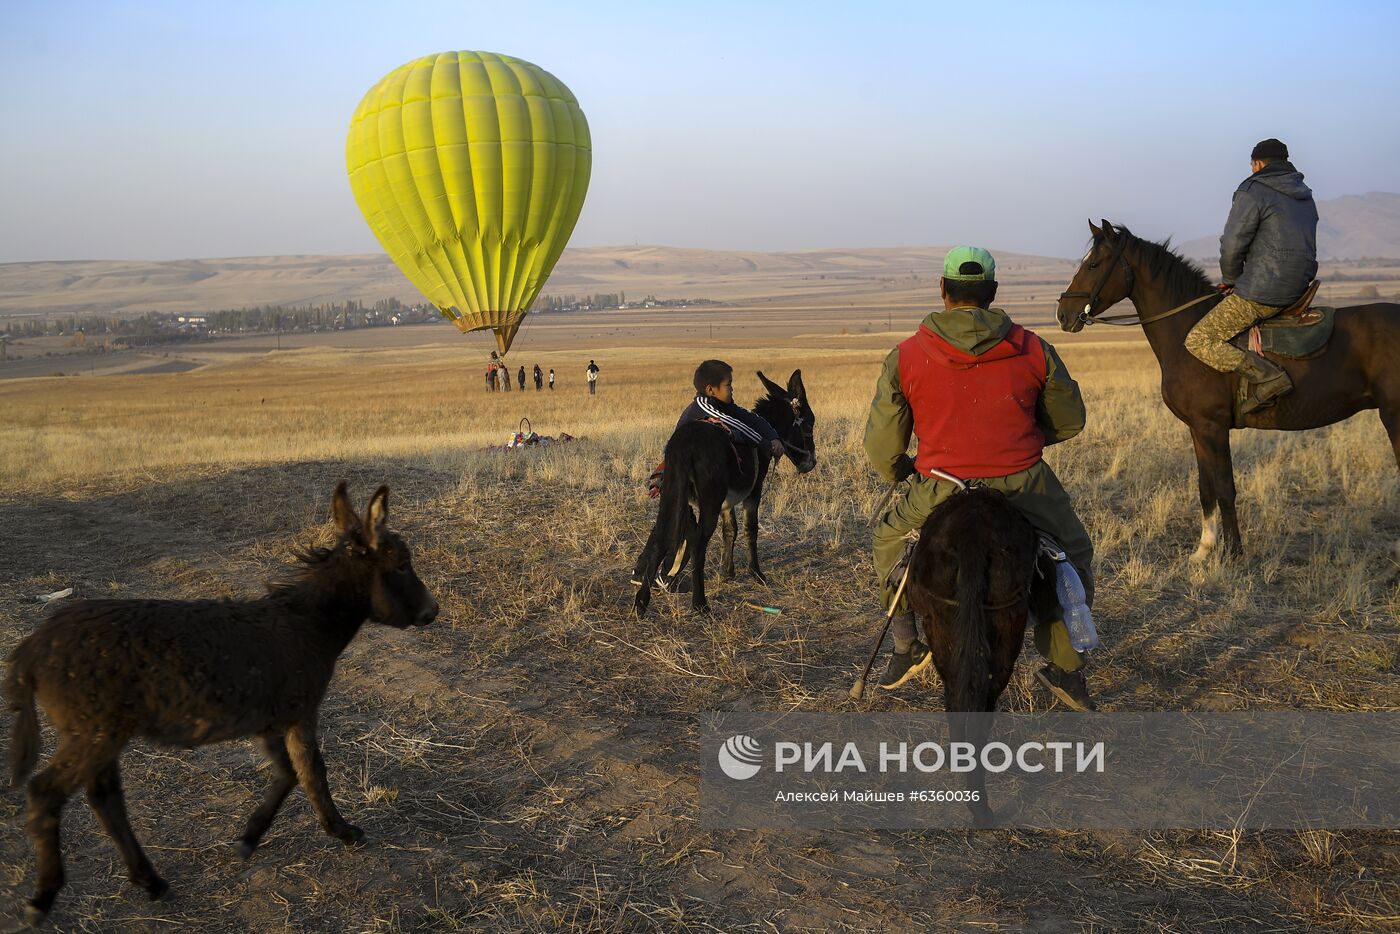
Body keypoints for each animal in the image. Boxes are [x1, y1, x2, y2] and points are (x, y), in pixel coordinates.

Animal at [1052, 222, 1394, 560]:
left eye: (1094, 264)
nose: (1063, 314)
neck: (1186, 333)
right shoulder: (1198, 428)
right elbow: (1206, 488)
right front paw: (1204, 549)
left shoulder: (1213, 427)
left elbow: (1225, 488)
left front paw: (1233, 553)